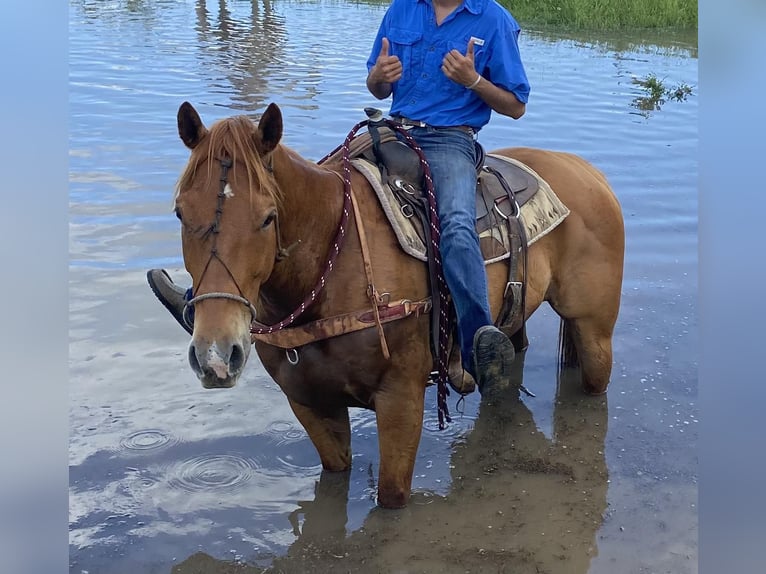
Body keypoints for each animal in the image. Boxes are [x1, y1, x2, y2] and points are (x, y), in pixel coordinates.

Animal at [171, 101, 628, 510]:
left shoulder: (400, 399)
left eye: (267, 217)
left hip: (594, 331)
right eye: (179, 213)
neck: (331, 267)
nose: (216, 355)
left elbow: (391, 496)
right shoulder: (309, 405)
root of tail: (587, 171)